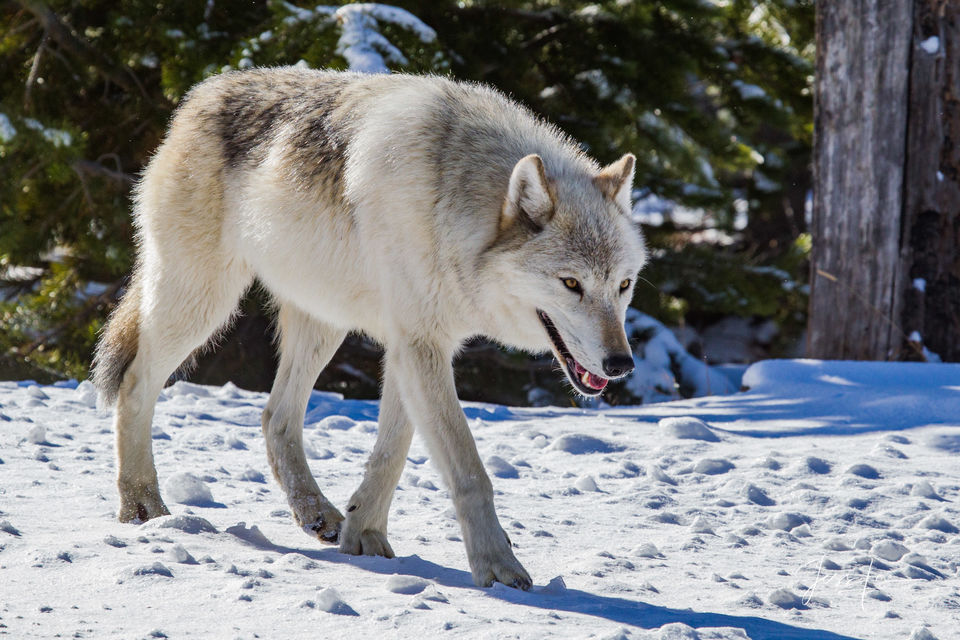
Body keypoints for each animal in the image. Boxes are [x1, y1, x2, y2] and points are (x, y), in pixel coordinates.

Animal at [92, 66, 644, 592]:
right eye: (571, 283)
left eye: (623, 285)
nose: (621, 364)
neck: (452, 202)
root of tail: (199, 96)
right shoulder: (420, 346)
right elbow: (469, 472)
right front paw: (498, 567)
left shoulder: (411, 345)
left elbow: (391, 454)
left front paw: (365, 535)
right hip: (203, 303)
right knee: (136, 384)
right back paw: (143, 506)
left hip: (321, 323)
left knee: (275, 417)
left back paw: (317, 514)